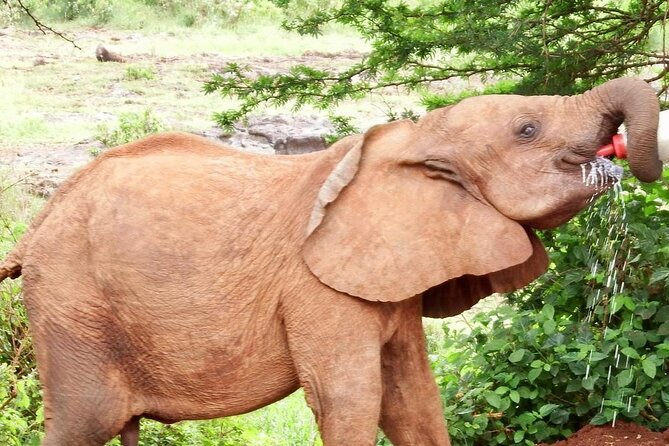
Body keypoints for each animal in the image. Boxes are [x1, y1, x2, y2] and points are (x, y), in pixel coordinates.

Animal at [0, 77, 662, 446]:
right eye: (527, 129)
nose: (622, 151)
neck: (415, 136)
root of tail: (34, 231)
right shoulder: (316, 289)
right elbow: (349, 398)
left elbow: (412, 398)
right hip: (70, 303)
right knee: (83, 423)